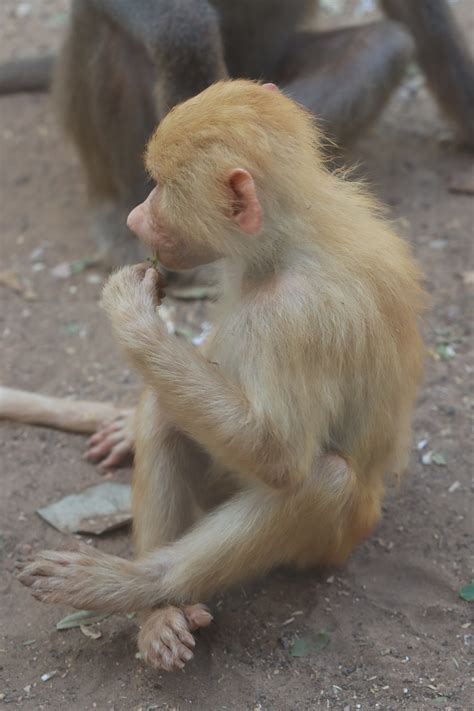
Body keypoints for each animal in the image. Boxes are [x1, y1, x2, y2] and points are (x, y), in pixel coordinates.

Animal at [18, 80, 426, 672]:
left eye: (163, 187)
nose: (135, 218)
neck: (289, 243)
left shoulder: (295, 317)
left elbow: (279, 455)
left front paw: (132, 317)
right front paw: (126, 424)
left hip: (336, 539)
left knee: (324, 478)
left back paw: (144, 584)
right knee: (168, 410)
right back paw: (157, 613)